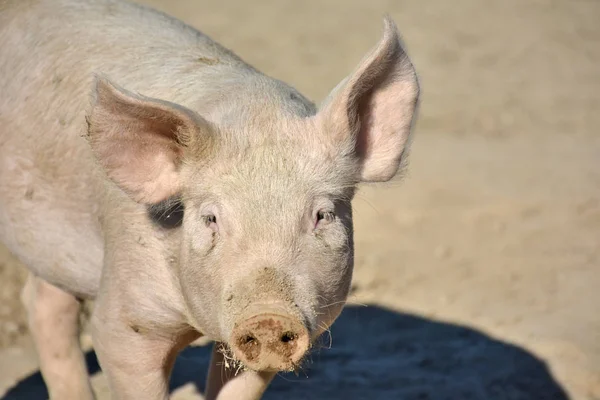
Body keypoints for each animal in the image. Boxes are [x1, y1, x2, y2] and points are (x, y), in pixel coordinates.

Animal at [0, 0, 420, 398]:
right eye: (211, 219)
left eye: (323, 215)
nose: (269, 317)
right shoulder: (124, 316)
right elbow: (115, 339)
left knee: (43, 302)